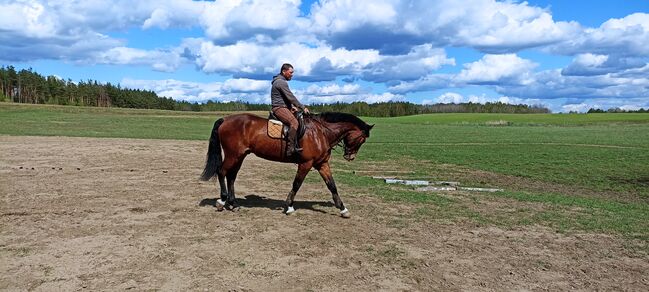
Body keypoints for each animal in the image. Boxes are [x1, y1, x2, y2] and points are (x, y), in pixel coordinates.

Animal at [197, 112, 372, 217]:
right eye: (362, 139)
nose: (350, 156)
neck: (320, 132)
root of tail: (225, 119)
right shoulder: (306, 164)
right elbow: (297, 184)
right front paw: (289, 206)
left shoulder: (322, 164)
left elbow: (332, 185)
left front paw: (343, 209)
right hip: (233, 155)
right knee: (222, 172)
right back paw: (222, 201)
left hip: (240, 156)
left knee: (231, 176)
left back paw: (233, 204)